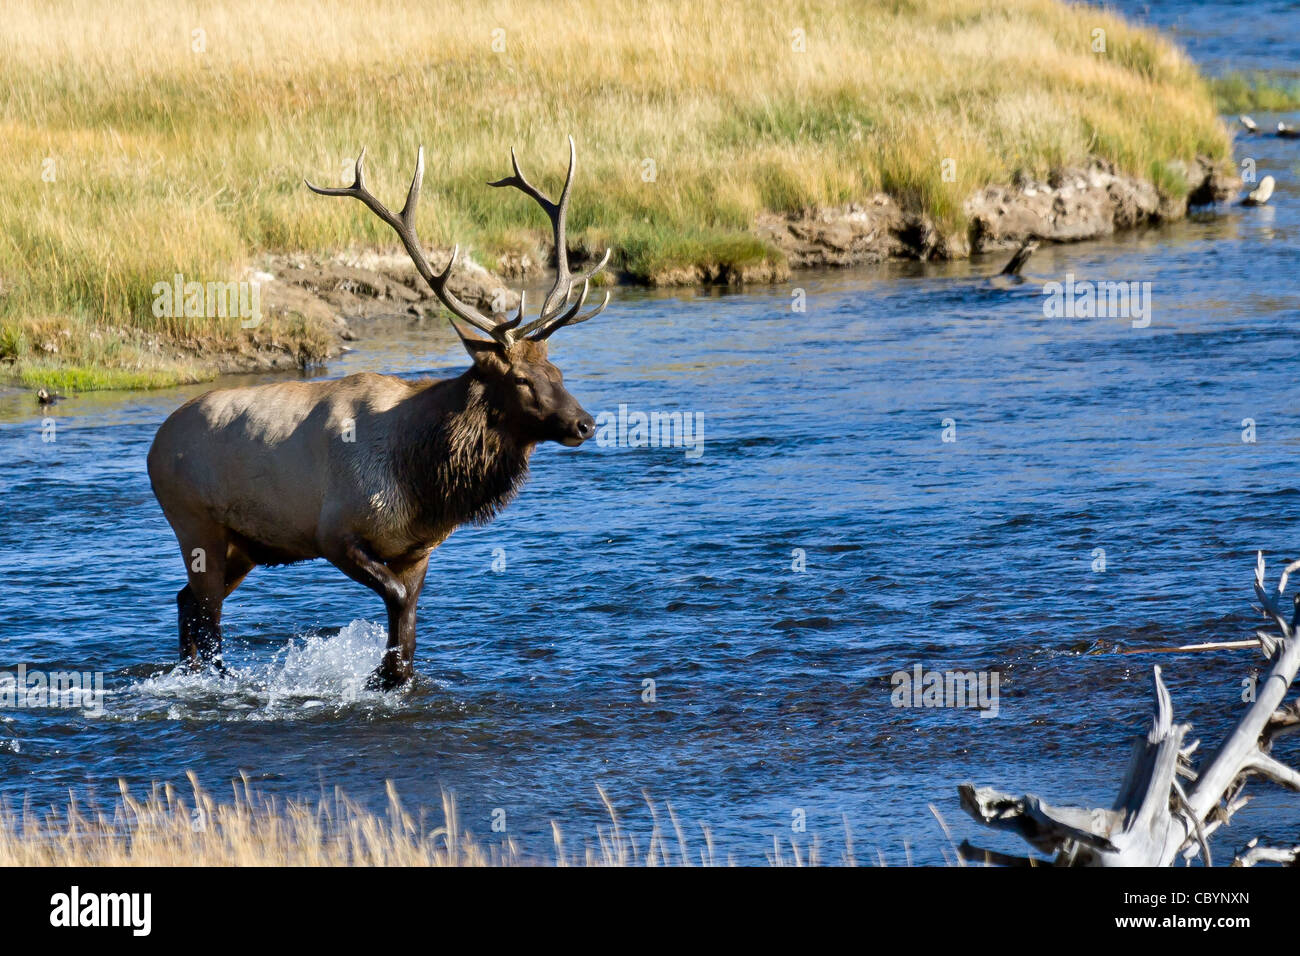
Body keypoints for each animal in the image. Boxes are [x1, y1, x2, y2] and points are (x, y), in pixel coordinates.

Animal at [144, 136, 611, 686]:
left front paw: (391, 677)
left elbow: (406, 628)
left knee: (186, 604)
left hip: (245, 545)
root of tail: (155, 445)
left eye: (556, 371)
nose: (585, 423)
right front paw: (373, 677)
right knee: (207, 615)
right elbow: (397, 604)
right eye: (520, 379)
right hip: (196, 525)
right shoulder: (333, 532)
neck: (423, 481)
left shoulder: (416, 551)